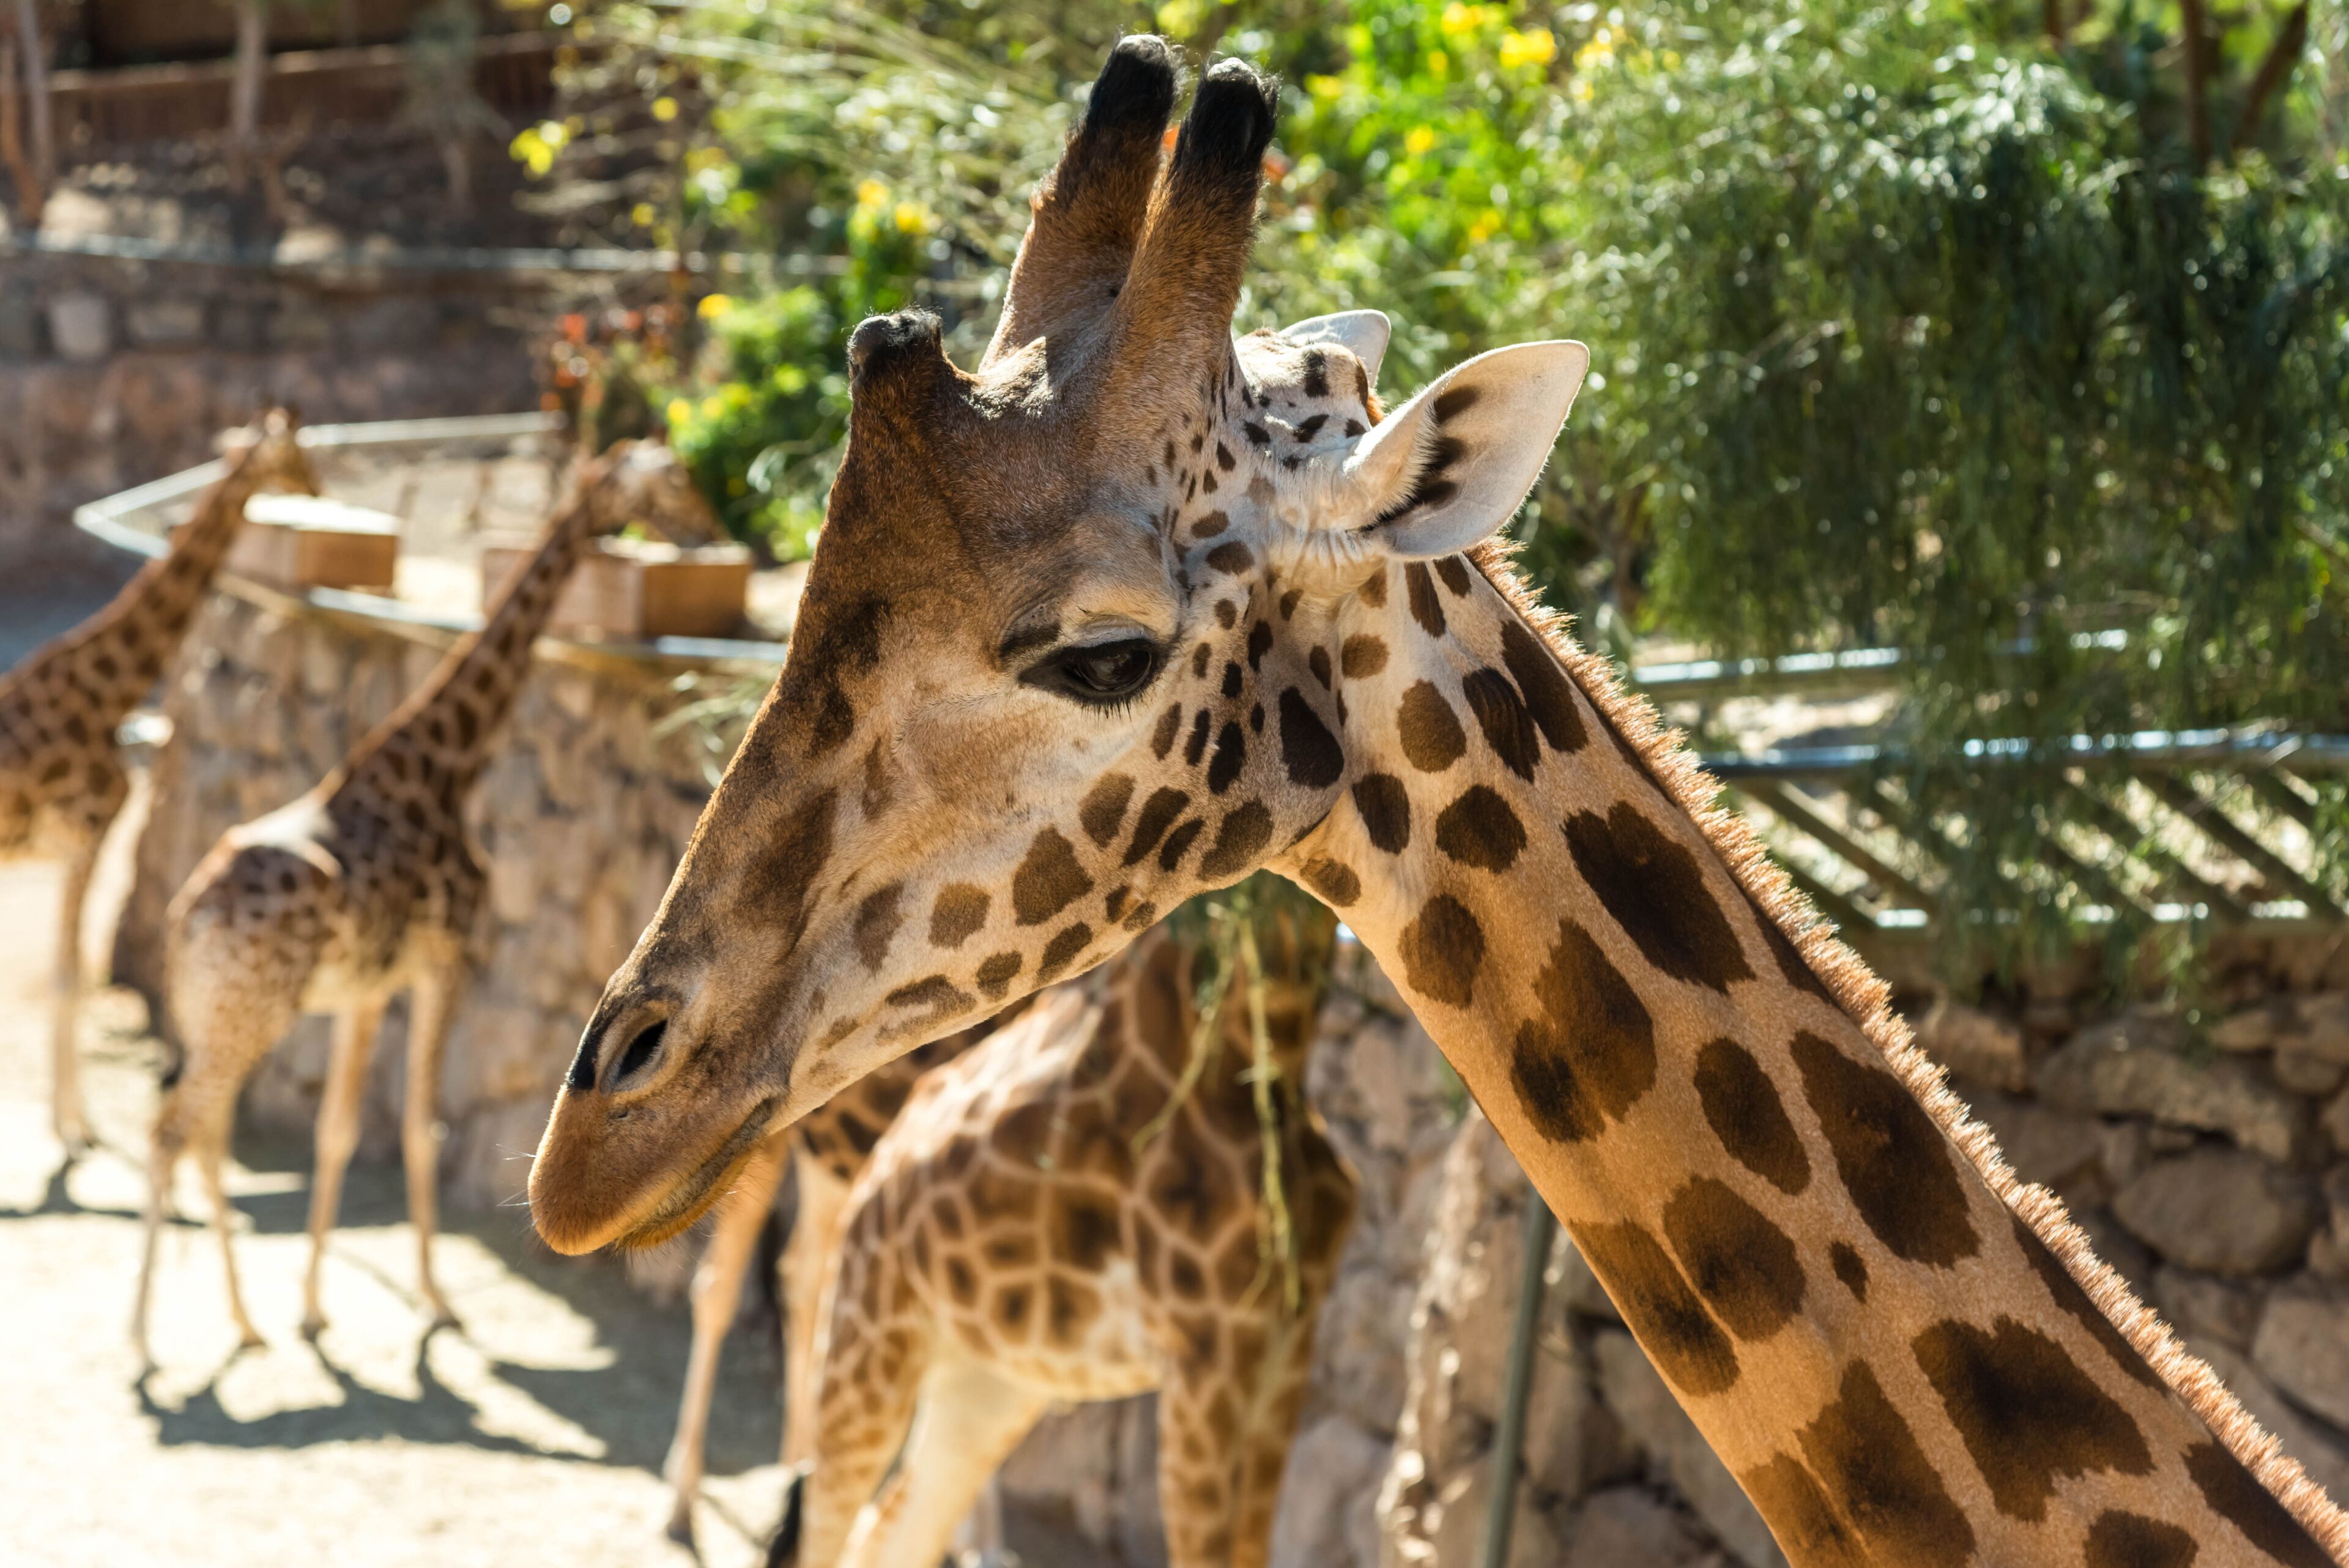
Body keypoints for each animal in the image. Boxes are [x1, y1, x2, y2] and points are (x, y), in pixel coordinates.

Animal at [0, 411, 318, 1154]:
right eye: (298, 454)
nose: (317, 487)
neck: (107, 693)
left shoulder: (71, 847)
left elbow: (64, 978)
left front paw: (68, 1123)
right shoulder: (88, 837)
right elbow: (68, 981)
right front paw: (75, 1130)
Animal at [137, 439, 722, 1365]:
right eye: (668, 478)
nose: (708, 527)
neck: (448, 762)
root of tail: (185, 919)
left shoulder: (369, 987)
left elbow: (340, 1129)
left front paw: (313, 1309)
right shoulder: (446, 962)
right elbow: (420, 1129)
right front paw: (440, 1304)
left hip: (216, 1011)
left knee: (201, 1134)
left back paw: (242, 1319)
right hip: (251, 1012)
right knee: (170, 1132)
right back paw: (144, 1341)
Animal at [768, 889, 1351, 1568]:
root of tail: (879, 1166)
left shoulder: (1287, 1348)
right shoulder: (1207, 1360)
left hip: (989, 1385)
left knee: (896, 1532)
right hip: (869, 1346)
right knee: (823, 1532)